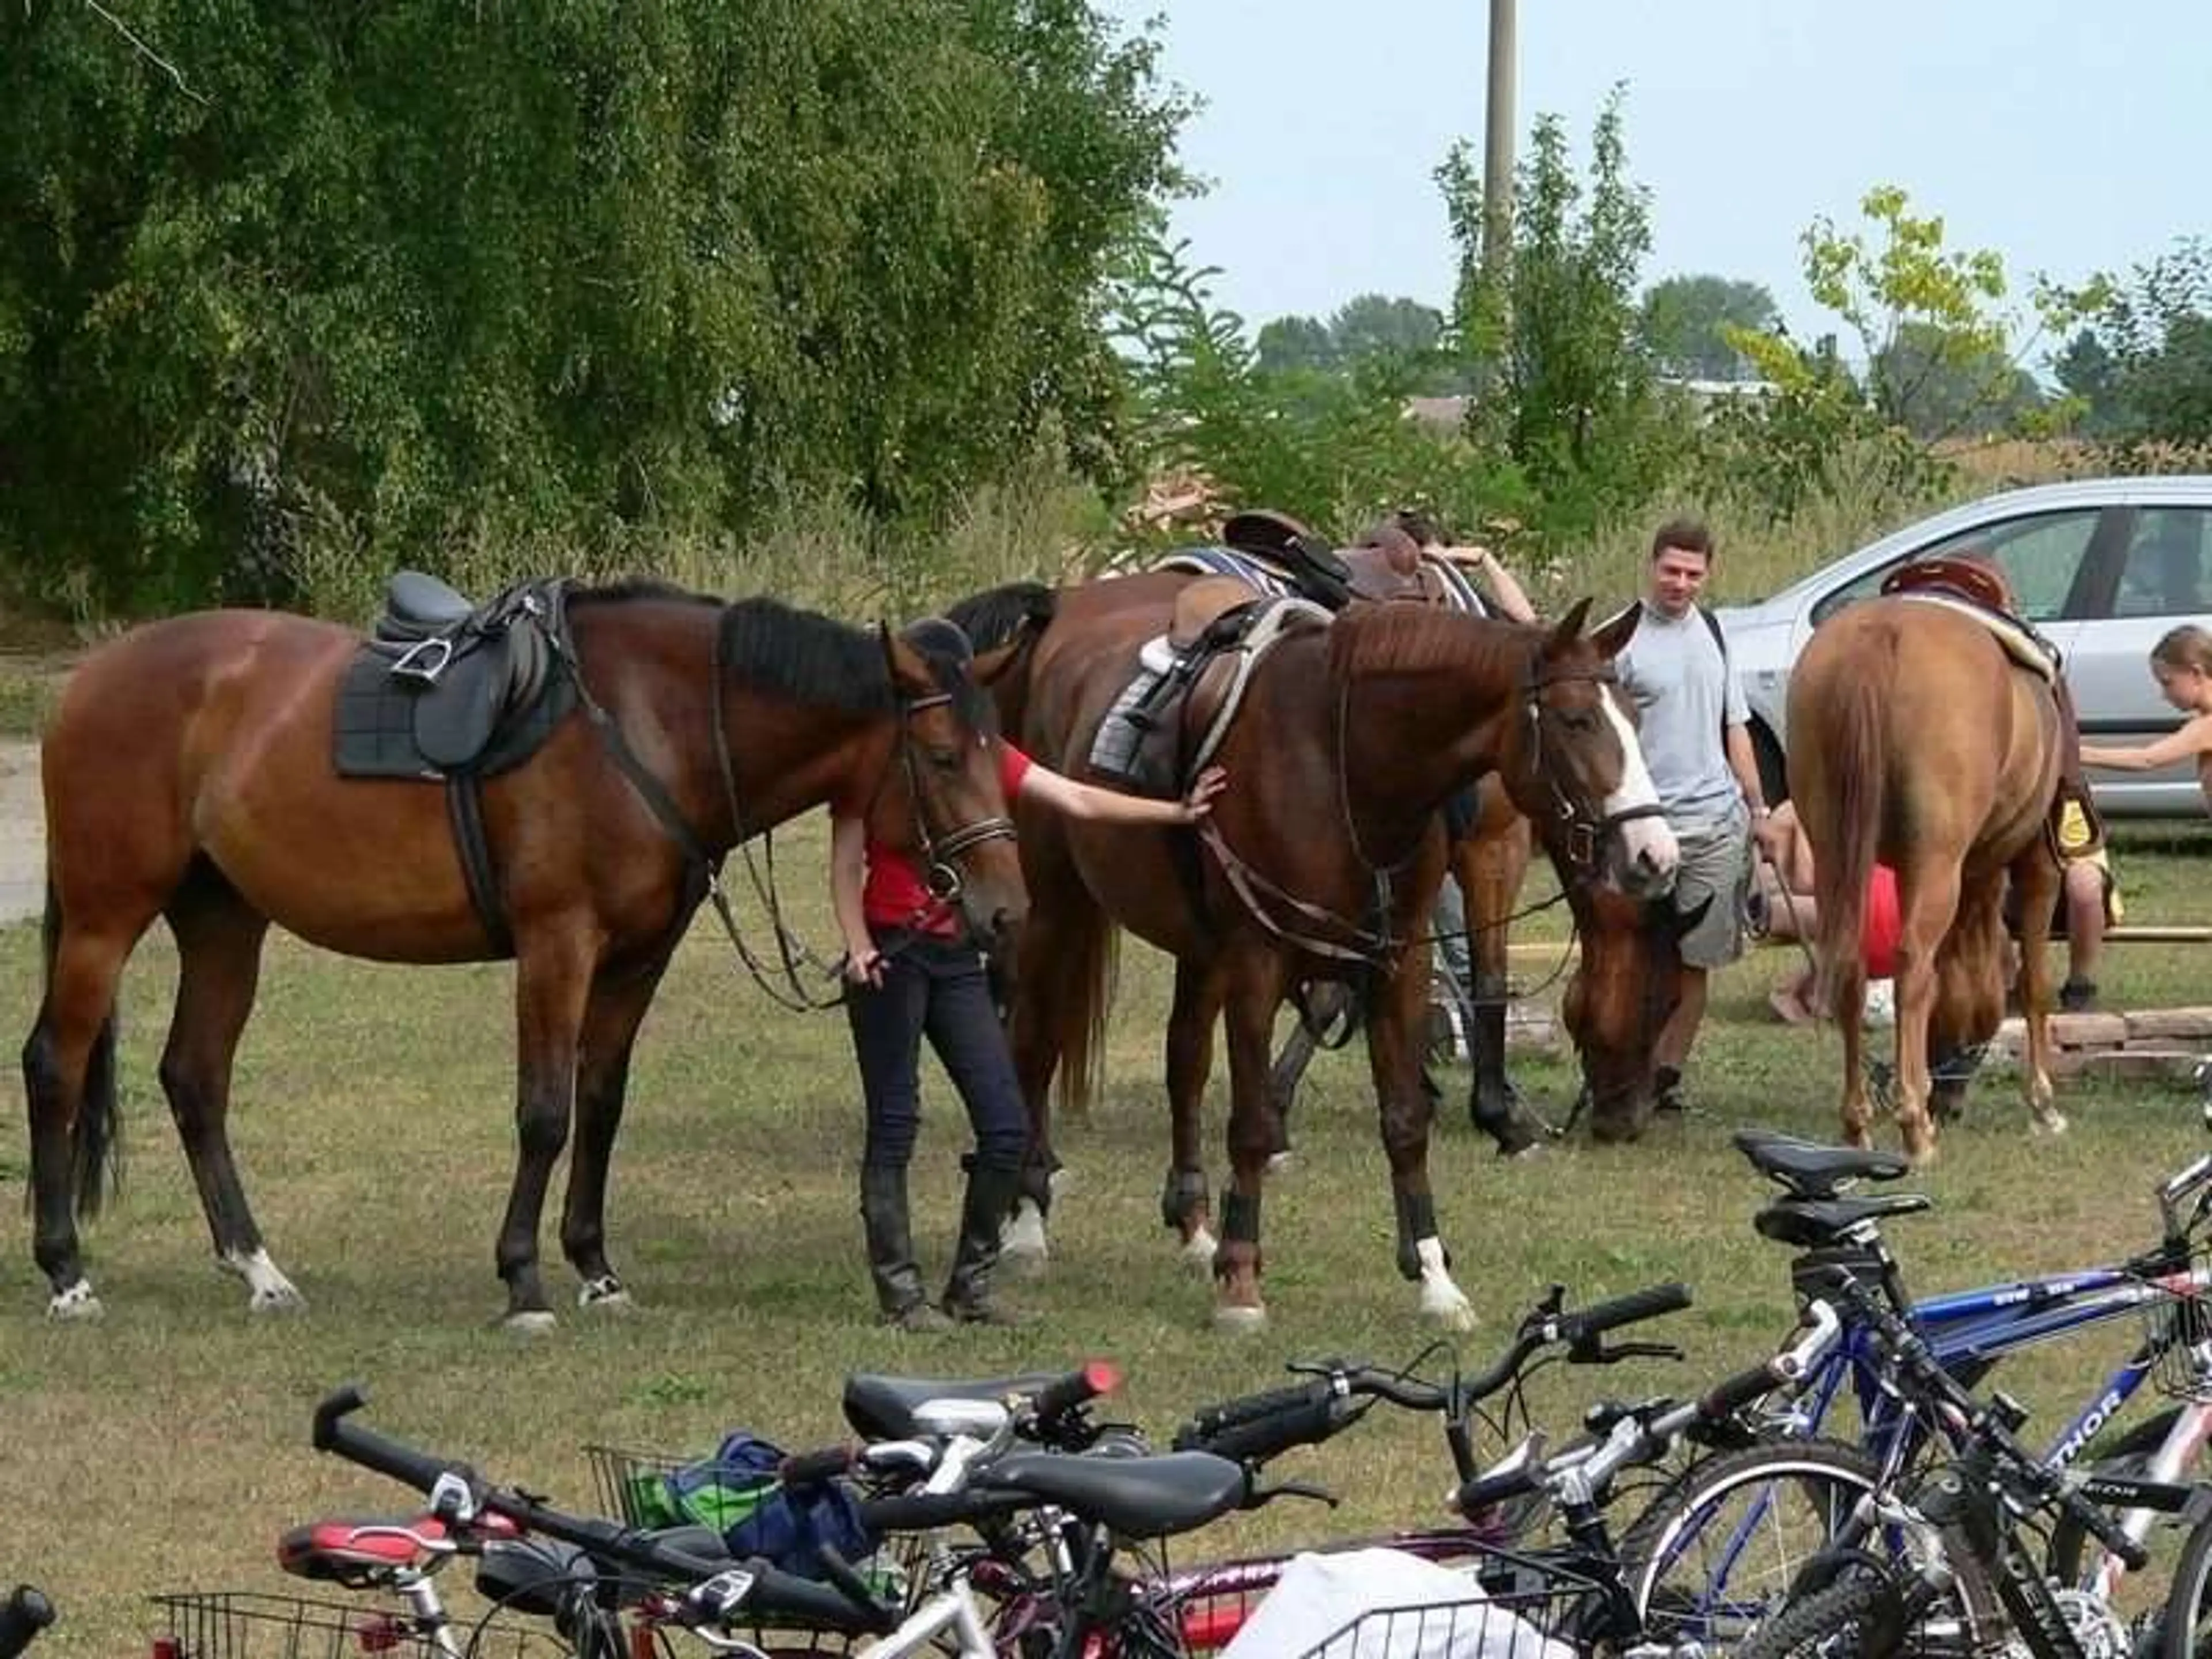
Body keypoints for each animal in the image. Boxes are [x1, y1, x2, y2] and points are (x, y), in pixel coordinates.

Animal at [26, 579, 1026, 1327]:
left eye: (1002, 750)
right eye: (943, 756)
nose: (1006, 910)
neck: (647, 723)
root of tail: (89, 680)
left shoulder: (636, 960)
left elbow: (602, 1105)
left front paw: (596, 1269)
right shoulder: (558, 942)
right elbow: (545, 1111)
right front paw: (524, 1281)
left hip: (224, 923)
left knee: (195, 1078)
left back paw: (258, 1270)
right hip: (106, 919)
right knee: (55, 1067)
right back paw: (66, 1273)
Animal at [951, 579, 1672, 1336]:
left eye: (1634, 717)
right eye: (1575, 720)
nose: (1655, 854)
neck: (1344, 765)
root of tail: (1058, 614)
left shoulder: (1396, 961)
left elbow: (1404, 1120)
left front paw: (1435, 1278)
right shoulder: (1258, 963)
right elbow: (1250, 1123)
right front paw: (1241, 1279)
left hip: (1194, 947)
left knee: (1183, 1062)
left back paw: (1194, 1227)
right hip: (1055, 915)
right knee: (1034, 1051)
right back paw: (1028, 1225)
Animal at [1778, 579, 2070, 1159]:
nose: (1949, 1103)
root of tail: (1880, 634)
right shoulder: (2038, 865)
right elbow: (2035, 983)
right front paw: (2043, 1104)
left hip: (1834, 857)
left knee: (1850, 967)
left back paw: (1859, 1123)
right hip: (1935, 859)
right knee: (1913, 964)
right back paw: (1915, 1128)